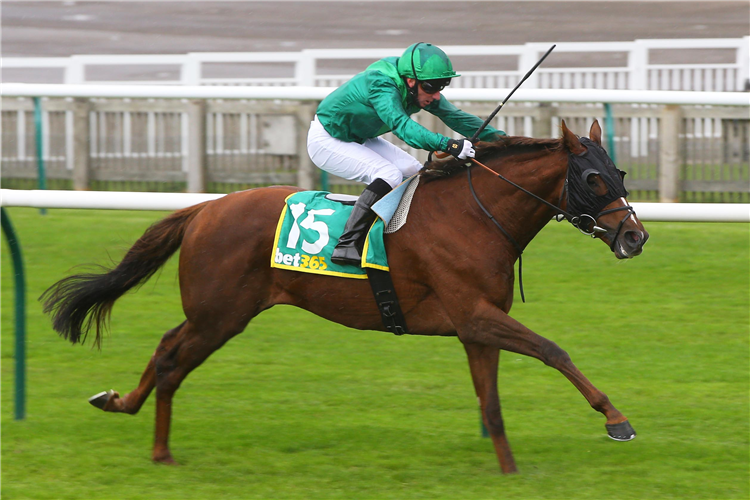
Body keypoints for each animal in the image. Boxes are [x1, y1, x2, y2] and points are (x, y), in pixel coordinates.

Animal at [42, 120, 652, 472]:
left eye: (620, 172)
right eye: (592, 179)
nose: (635, 237)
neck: (477, 216)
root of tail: (203, 209)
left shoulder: (476, 325)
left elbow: (492, 400)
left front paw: (508, 469)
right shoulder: (475, 315)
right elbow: (554, 350)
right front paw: (617, 419)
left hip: (217, 313)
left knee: (168, 347)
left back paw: (124, 407)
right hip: (220, 315)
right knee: (173, 357)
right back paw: (158, 447)